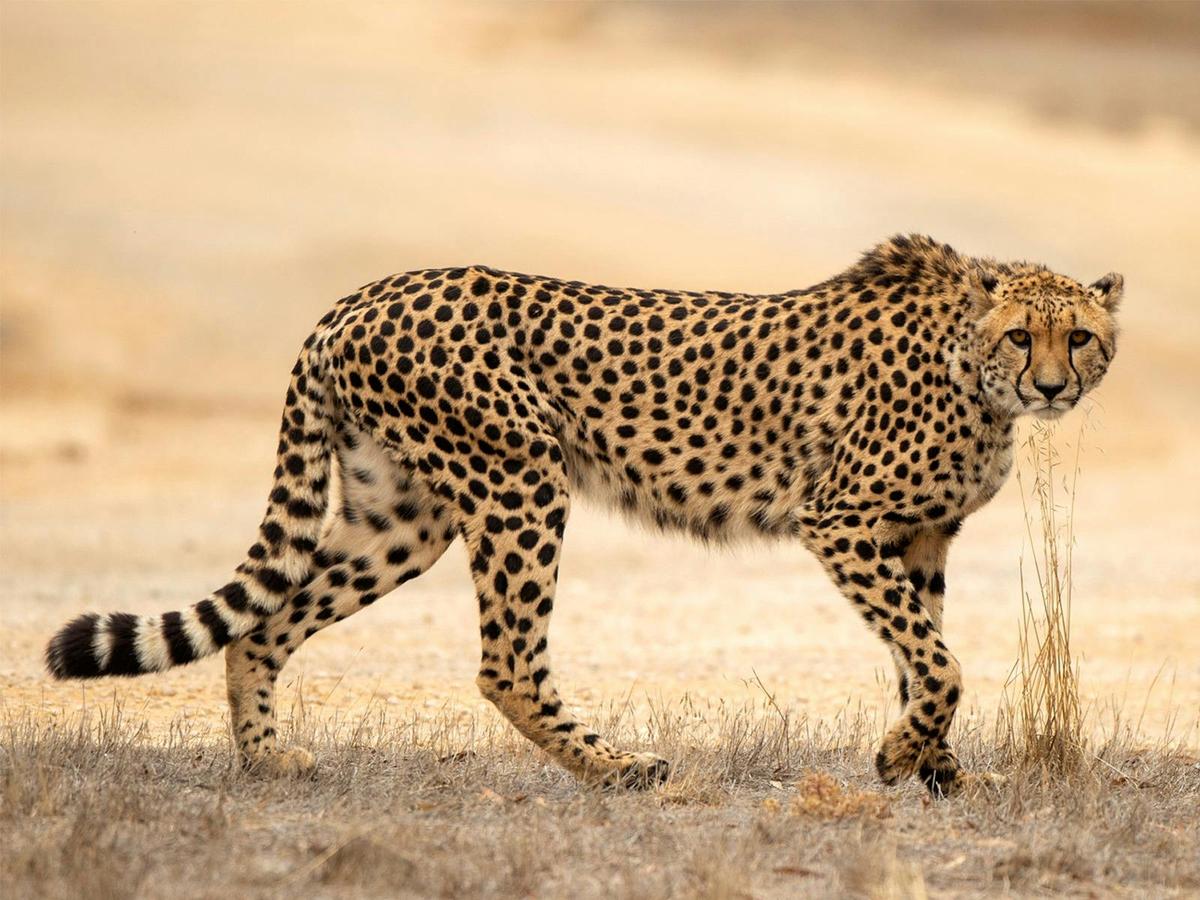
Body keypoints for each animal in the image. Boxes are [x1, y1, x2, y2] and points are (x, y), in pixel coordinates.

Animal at [45, 234, 1123, 796]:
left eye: (1081, 336)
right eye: (1023, 335)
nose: (1056, 386)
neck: (972, 371)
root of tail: (362, 295)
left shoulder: (920, 533)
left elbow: (921, 653)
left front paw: (935, 770)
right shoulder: (842, 519)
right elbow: (940, 660)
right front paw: (908, 757)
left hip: (402, 516)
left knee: (263, 623)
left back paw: (269, 758)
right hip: (521, 480)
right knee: (506, 665)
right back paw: (617, 767)